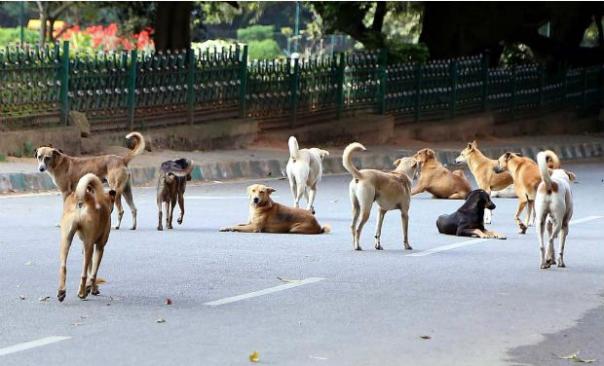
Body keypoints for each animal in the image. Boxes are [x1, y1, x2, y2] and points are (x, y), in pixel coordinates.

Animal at [58, 173, 117, 302]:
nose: (104, 178)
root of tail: (82, 198)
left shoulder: (84, 247)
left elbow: (91, 269)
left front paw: (91, 287)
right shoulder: (99, 247)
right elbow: (93, 272)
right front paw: (92, 288)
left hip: (66, 239)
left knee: (63, 266)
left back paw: (61, 292)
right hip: (89, 245)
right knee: (84, 274)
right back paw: (81, 293)